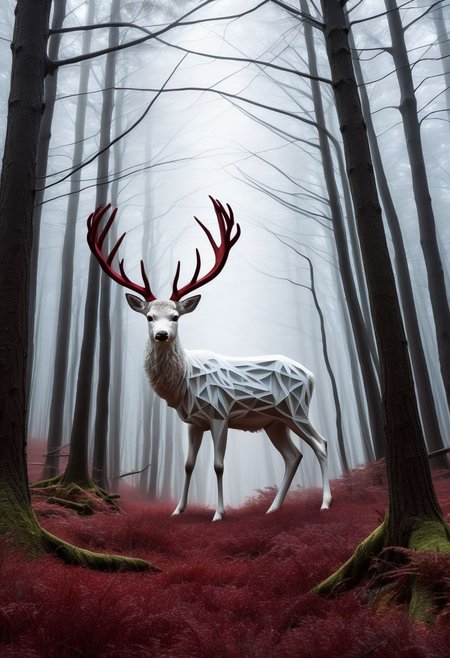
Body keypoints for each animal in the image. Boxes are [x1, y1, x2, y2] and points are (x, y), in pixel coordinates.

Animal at [87, 197, 331, 521]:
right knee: (294, 455)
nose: (161, 335)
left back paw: (325, 502)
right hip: (274, 421)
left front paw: (218, 514)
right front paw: (177, 510)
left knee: (321, 443)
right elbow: (189, 464)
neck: (185, 382)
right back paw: (273, 508)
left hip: (296, 408)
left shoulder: (220, 412)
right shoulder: (193, 421)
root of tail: (312, 375)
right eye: (149, 317)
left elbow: (217, 465)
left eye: (175, 316)